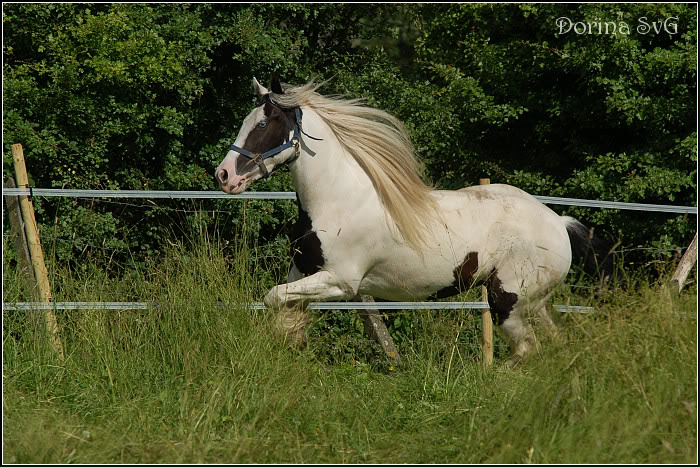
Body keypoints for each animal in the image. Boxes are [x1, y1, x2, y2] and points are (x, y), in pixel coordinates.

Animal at [215, 77, 612, 368]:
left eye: (263, 123)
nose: (224, 175)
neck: (337, 201)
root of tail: (558, 223)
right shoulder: (302, 272)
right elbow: (284, 315)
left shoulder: (342, 282)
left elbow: (272, 299)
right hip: (534, 303)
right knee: (554, 344)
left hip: (508, 303)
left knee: (528, 350)